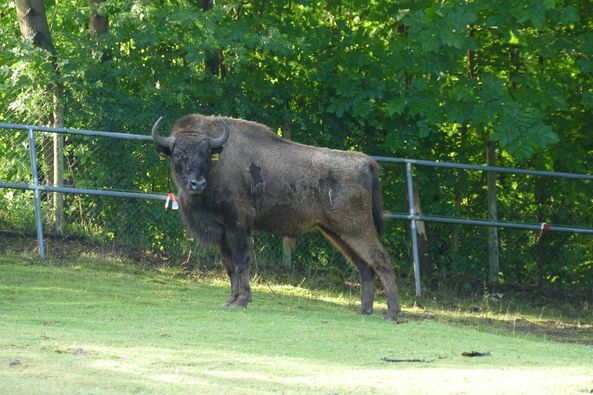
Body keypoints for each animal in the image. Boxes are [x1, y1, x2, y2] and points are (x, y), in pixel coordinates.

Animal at [153, 114, 402, 322]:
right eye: (178, 154)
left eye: (206, 154)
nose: (197, 184)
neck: (218, 163)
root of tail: (366, 161)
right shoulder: (223, 232)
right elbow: (229, 265)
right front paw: (230, 300)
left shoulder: (239, 227)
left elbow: (241, 263)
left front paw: (242, 301)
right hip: (337, 232)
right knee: (364, 265)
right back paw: (364, 311)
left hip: (357, 229)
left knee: (380, 259)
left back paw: (391, 313)